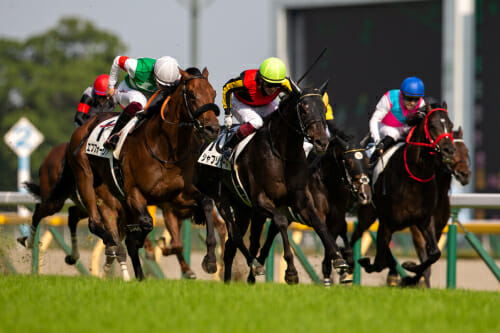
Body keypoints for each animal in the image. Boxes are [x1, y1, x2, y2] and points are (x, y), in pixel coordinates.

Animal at [67, 66, 221, 278]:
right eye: (191, 94)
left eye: (213, 93)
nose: (213, 128)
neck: (165, 149)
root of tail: (85, 127)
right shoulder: (135, 194)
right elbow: (147, 224)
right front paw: (148, 247)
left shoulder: (177, 194)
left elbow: (205, 202)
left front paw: (210, 260)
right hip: (87, 180)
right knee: (95, 223)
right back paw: (111, 246)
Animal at [356, 102, 458, 278]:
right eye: (432, 125)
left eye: (450, 125)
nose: (449, 151)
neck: (414, 179)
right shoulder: (387, 223)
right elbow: (380, 260)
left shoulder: (425, 220)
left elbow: (435, 253)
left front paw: (410, 266)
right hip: (366, 213)